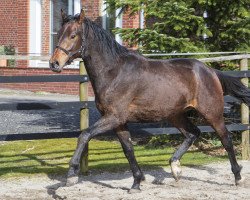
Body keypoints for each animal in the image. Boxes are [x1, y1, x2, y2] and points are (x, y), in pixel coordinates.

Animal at [49, 8, 248, 193]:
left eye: (73, 35)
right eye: (58, 34)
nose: (54, 63)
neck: (114, 72)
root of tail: (210, 71)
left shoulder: (113, 117)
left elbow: (84, 135)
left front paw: (71, 176)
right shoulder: (119, 122)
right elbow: (128, 150)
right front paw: (137, 182)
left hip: (212, 113)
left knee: (226, 139)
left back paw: (238, 177)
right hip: (176, 115)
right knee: (193, 133)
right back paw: (175, 168)